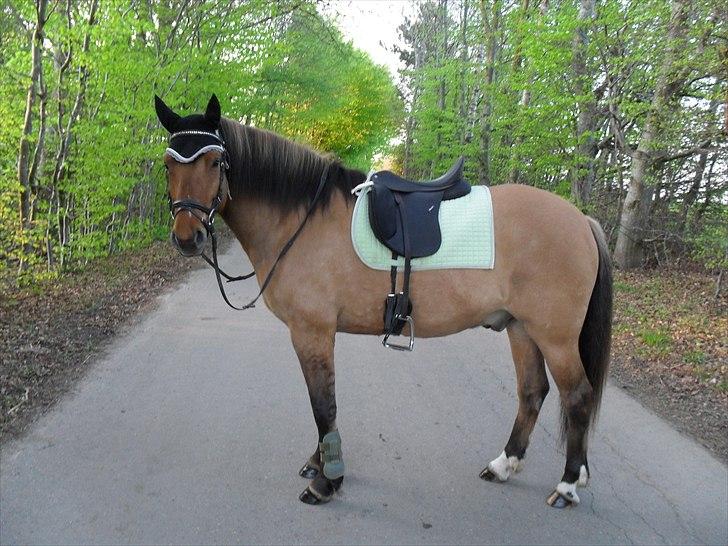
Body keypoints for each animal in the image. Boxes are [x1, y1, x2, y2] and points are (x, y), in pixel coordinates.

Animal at [156, 92, 612, 506]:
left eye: (215, 163)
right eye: (168, 164)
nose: (187, 238)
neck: (301, 218)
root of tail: (581, 220)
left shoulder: (311, 331)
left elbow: (323, 404)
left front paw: (327, 481)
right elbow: (321, 404)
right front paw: (319, 464)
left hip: (554, 336)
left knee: (577, 396)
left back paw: (568, 484)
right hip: (520, 327)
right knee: (533, 392)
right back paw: (504, 464)